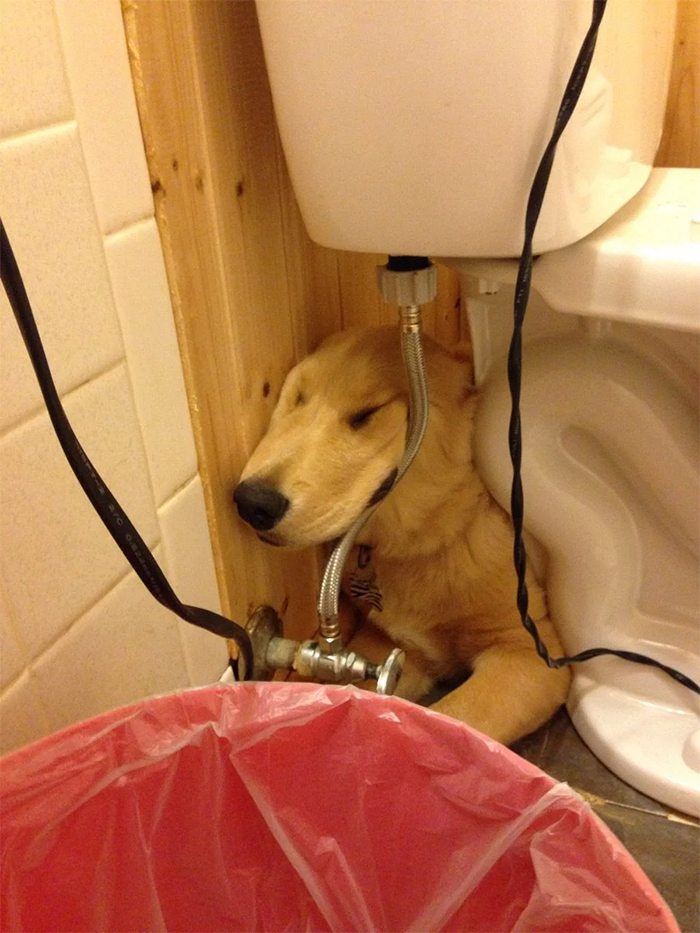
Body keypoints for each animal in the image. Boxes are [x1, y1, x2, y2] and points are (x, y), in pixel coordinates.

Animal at [234, 328, 568, 744]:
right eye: (296, 397)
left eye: (368, 414)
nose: (252, 502)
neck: (431, 536)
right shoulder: (386, 649)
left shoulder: (531, 652)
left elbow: (456, 719)